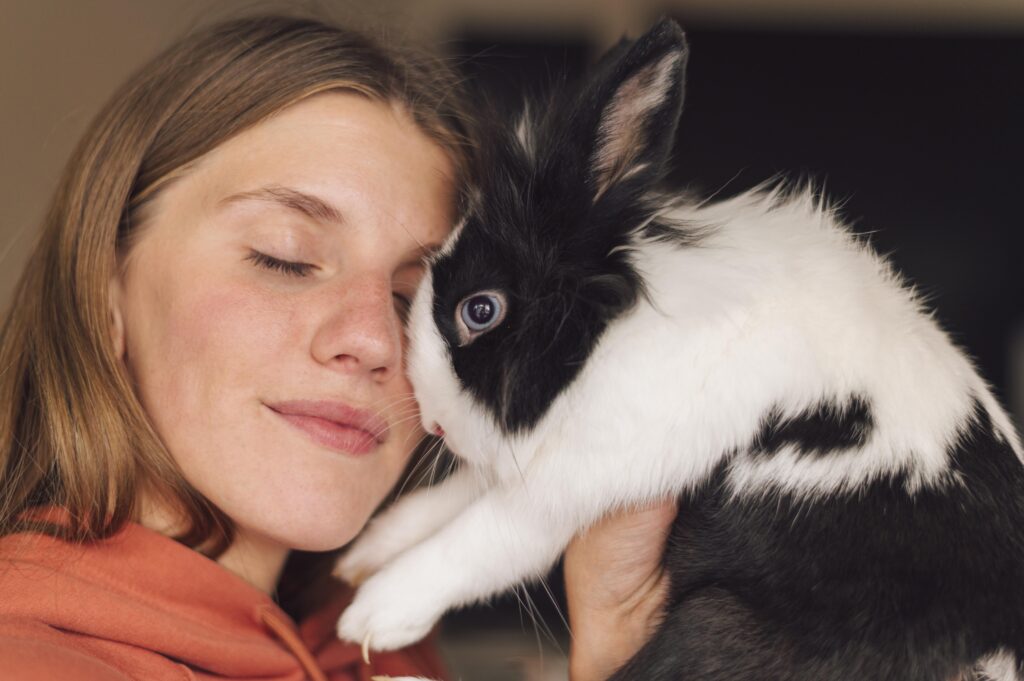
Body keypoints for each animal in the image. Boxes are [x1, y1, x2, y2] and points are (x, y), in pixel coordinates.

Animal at [336, 18, 1024, 681]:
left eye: (480, 310)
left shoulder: (571, 485)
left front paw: (371, 615)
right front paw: (364, 553)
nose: (434, 424)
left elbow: (480, 542)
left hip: (719, 631)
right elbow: (453, 499)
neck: (616, 331)